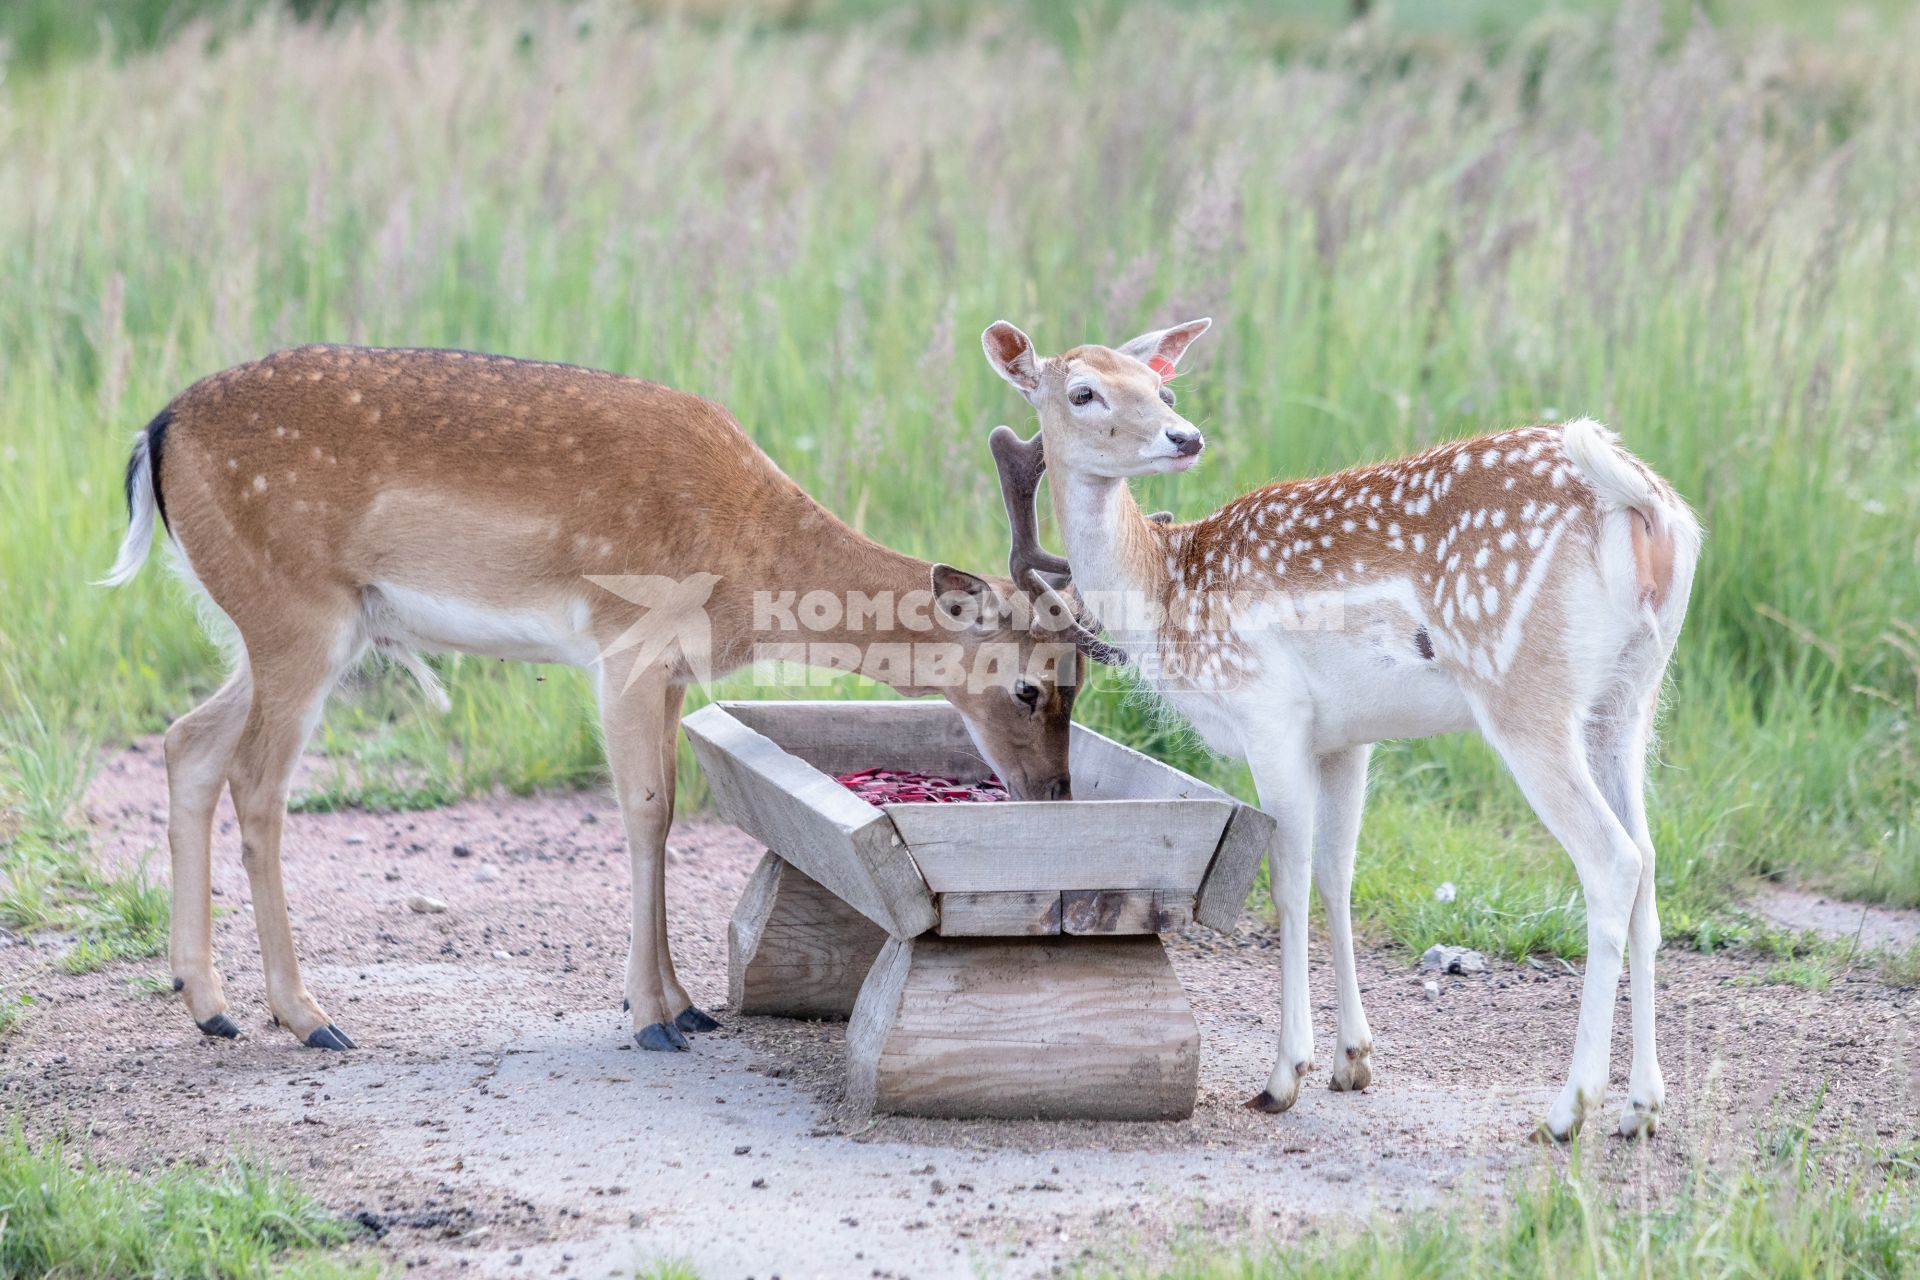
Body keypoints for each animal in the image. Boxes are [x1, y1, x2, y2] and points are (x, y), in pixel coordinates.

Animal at [105, 345, 1113, 1059]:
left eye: (1082, 682)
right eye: (1028, 686)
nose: (1053, 794)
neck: (748, 553)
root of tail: (155, 431)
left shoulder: (670, 675)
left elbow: (660, 811)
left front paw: (684, 1005)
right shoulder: (627, 646)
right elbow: (646, 809)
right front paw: (652, 1019)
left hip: (291, 628)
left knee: (187, 742)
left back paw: (211, 1006)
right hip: (297, 616)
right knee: (256, 784)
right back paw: (308, 1016)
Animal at [983, 320, 1704, 1143]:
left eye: (1159, 386)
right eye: (1084, 391)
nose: (1184, 435)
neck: (1167, 596)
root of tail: (1647, 507)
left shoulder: (1268, 711)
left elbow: (1287, 880)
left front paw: (1283, 1077)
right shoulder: (1347, 736)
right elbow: (1336, 873)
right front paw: (1352, 1061)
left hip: (1526, 689)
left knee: (1612, 860)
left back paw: (1567, 1111)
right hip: (1630, 698)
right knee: (1649, 859)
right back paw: (1641, 1108)